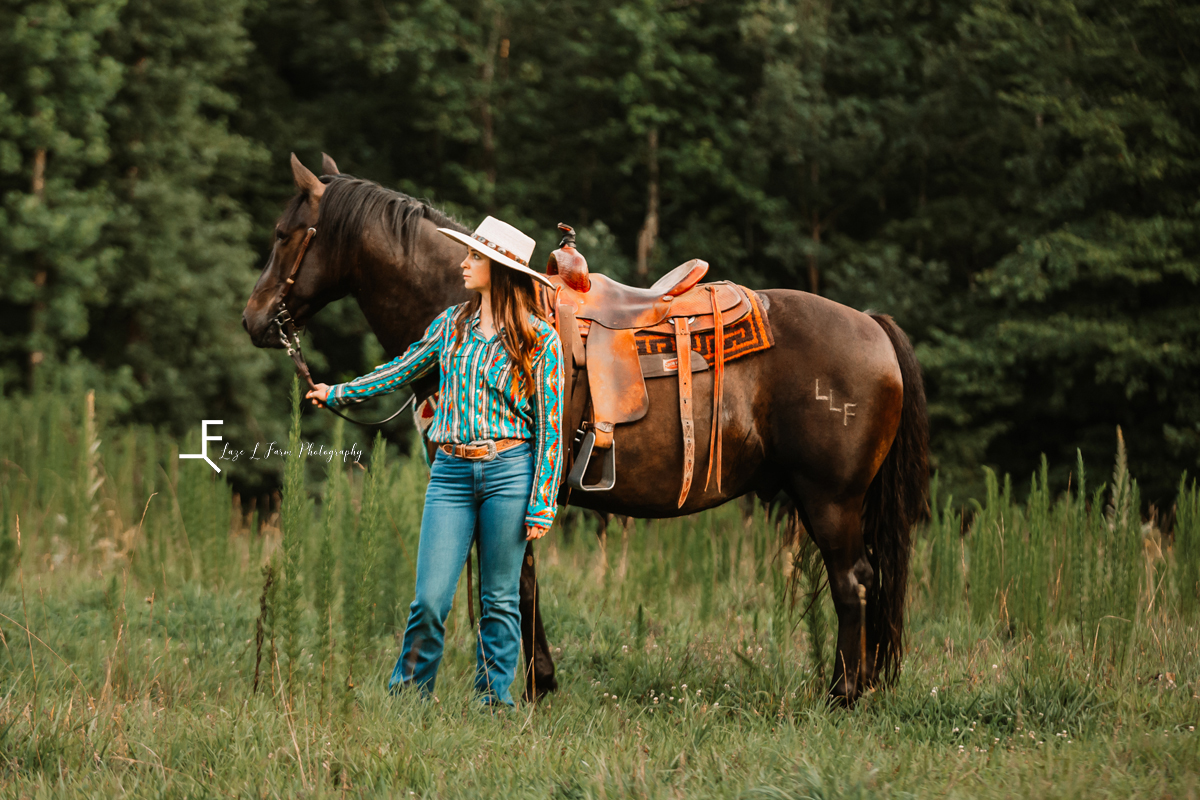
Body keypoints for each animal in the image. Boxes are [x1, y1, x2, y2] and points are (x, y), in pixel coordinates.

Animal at [241, 153, 926, 705]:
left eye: (283, 234)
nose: (253, 318)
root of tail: (871, 324)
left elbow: (513, 580)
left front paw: (528, 685)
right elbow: (512, 578)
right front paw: (529, 680)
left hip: (830, 499)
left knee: (853, 583)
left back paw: (843, 696)